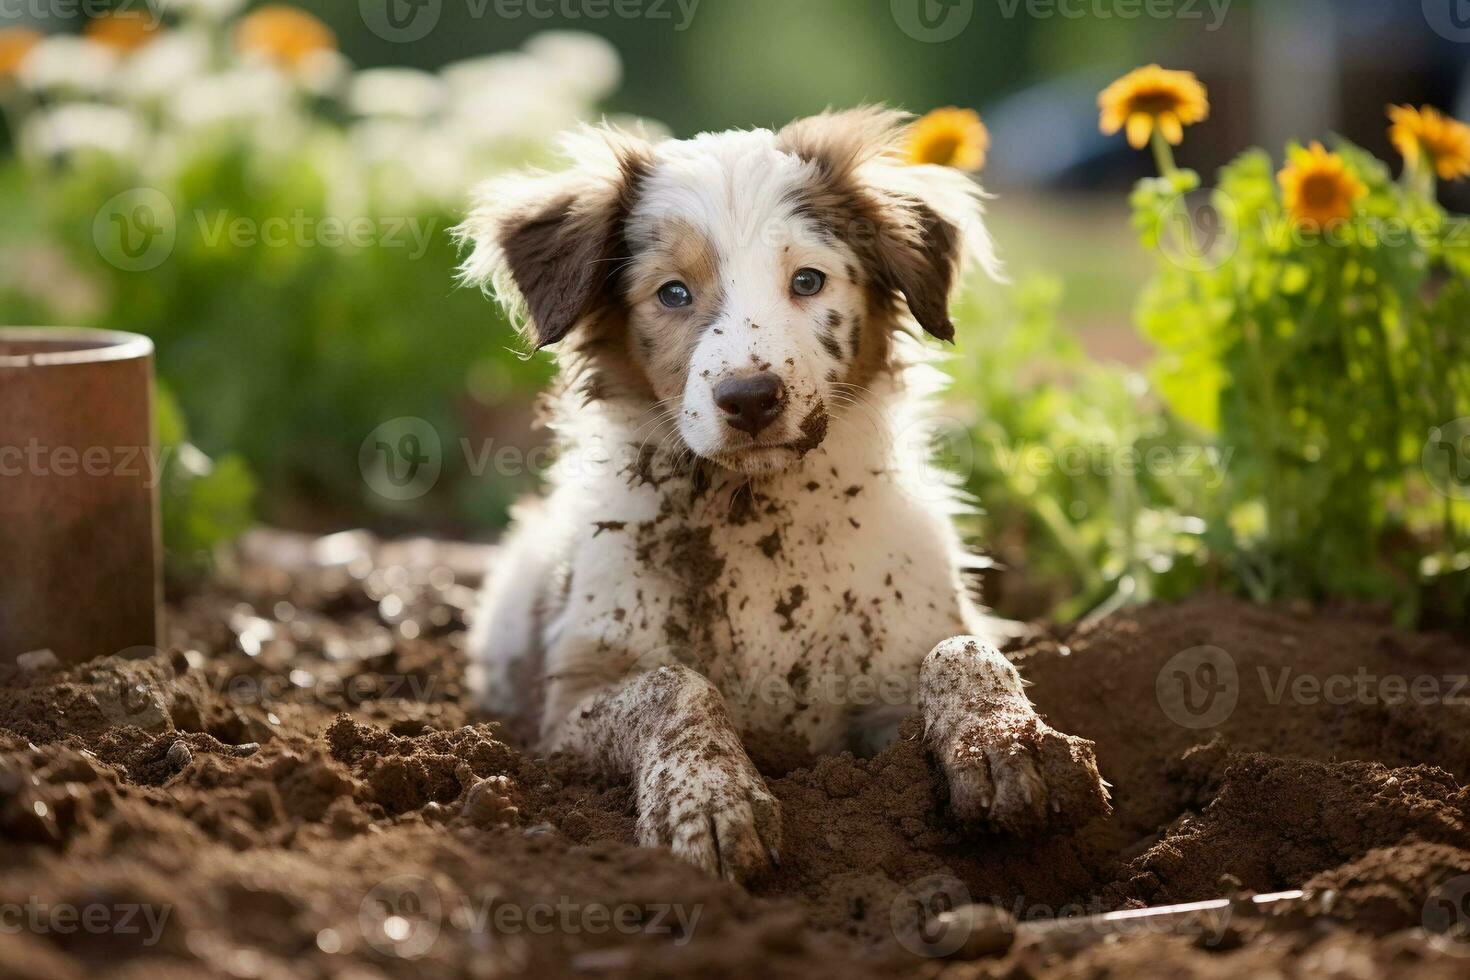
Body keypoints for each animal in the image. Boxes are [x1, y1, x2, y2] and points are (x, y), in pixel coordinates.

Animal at [452, 107, 1105, 881]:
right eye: (673, 292)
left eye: (809, 280)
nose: (750, 398)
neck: (758, 515)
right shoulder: (567, 712)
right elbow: (675, 684)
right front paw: (709, 801)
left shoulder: (885, 684)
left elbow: (961, 648)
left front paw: (1005, 741)